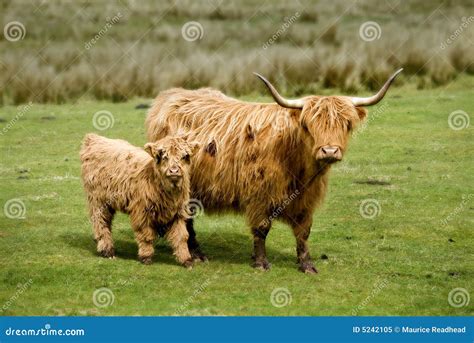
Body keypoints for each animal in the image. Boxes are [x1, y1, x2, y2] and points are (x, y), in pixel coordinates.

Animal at [80, 133, 199, 268]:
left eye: (185, 156)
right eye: (163, 156)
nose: (174, 171)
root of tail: (94, 138)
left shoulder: (178, 213)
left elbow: (182, 237)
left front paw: (186, 260)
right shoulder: (142, 212)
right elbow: (146, 235)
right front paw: (146, 257)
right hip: (98, 201)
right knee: (101, 222)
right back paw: (107, 250)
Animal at [145, 69, 404, 274]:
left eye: (346, 124)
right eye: (308, 125)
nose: (329, 151)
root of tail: (172, 95)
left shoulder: (306, 200)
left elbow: (304, 232)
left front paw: (306, 264)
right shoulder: (260, 195)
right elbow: (262, 229)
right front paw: (261, 262)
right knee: (187, 219)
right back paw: (197, 253)